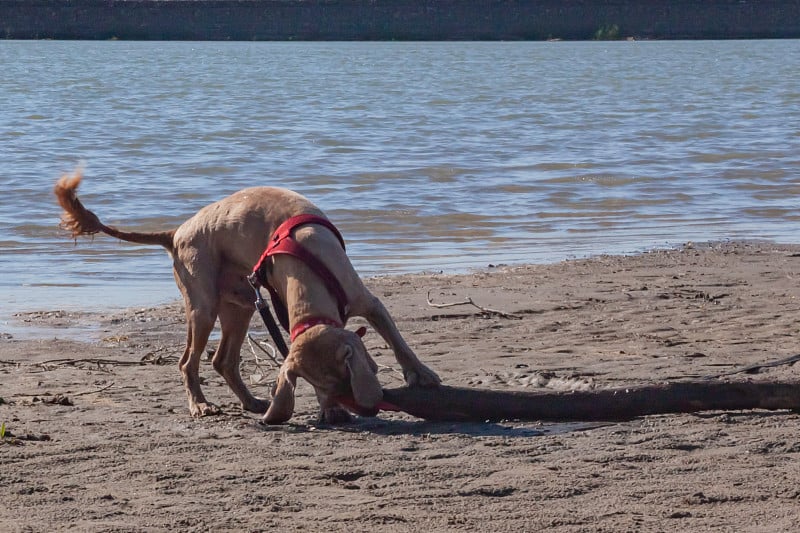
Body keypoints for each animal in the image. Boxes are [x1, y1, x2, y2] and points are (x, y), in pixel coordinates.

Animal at [54, 171, 444, 424]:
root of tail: (176, 232)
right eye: (323, 388)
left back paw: (251, 403)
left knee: (222, 361)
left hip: (241, 305)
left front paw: (422, 374)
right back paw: (201, 405)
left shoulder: (368, 301)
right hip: (204, 306)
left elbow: (397, 341)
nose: (348, 412)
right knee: (188, 362)